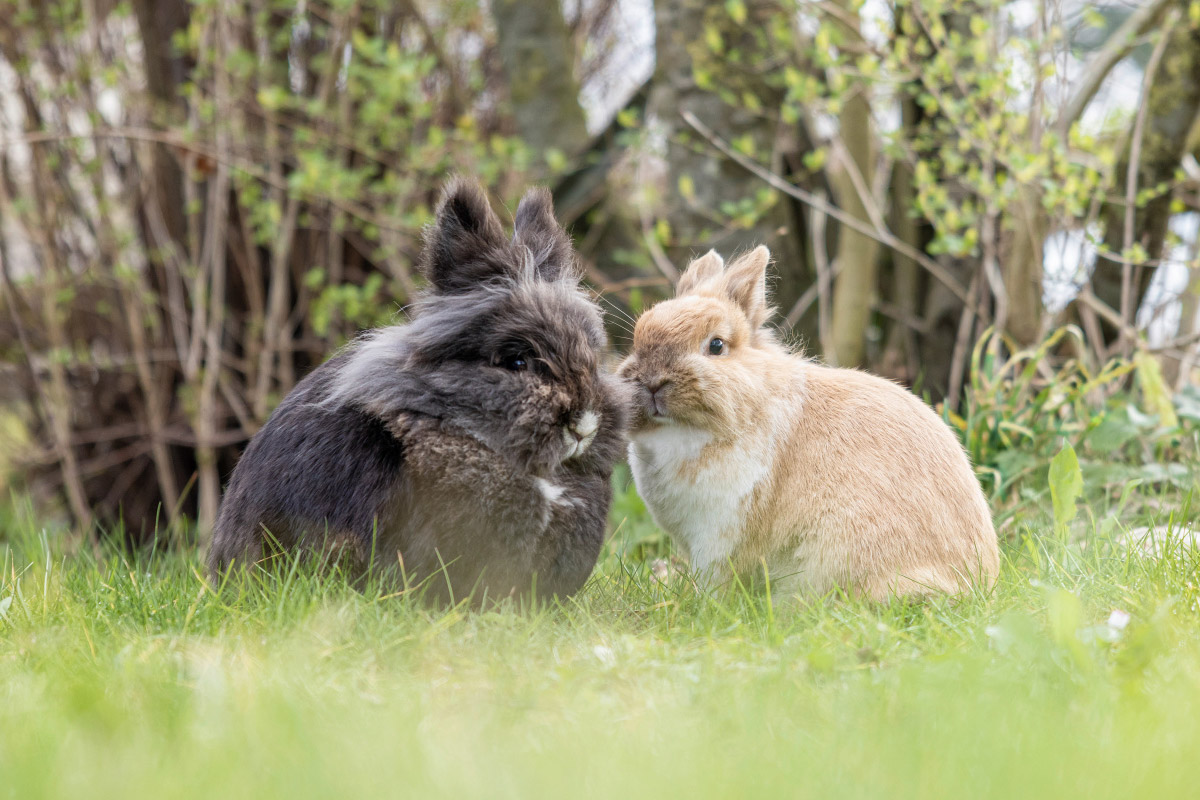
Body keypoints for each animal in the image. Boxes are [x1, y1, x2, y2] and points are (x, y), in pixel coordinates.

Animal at [614, 245, 998, 599]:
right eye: (637, 338)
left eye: (717, 345)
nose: (652, 382)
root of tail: (977, 584)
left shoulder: (720, 537)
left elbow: (719, 581)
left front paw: (706, 606)